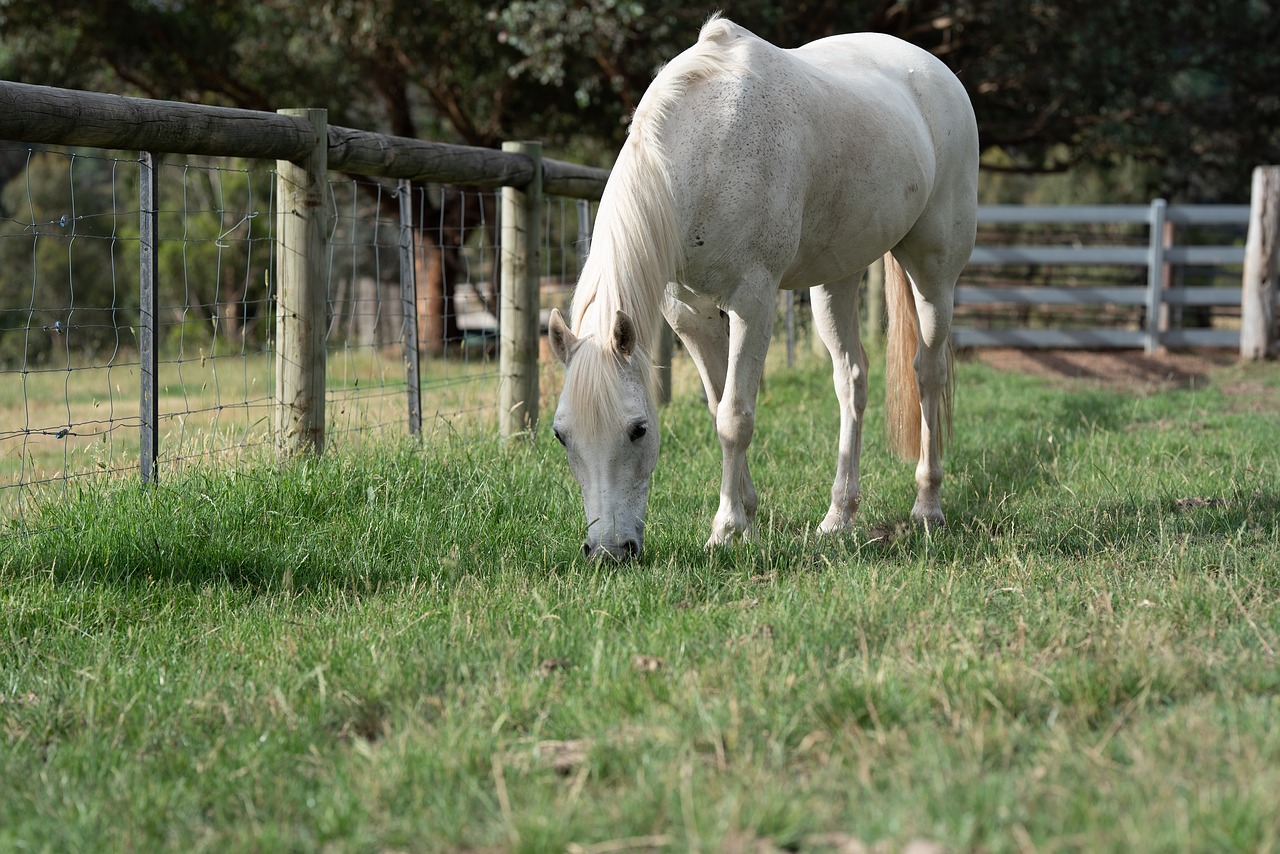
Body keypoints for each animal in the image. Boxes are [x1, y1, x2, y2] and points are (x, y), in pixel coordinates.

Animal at [545, 16, 972, 560]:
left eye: (638, 429)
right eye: (561, 436)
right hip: (836, 280)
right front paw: (746, 516)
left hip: (934, 270)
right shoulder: (690, 315)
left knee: (928, 373)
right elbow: (718, 406)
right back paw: (839, 516)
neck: (709, 145)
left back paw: (927, 507)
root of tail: (935, 71)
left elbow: (735, 417)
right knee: (851, 379)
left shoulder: (753, 301)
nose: (608, 552)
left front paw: (726, 529)